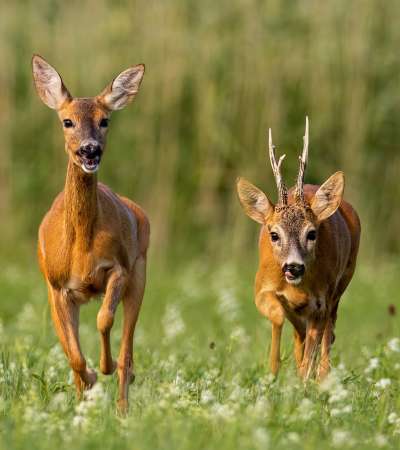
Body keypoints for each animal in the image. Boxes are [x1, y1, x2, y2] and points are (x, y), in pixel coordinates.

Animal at [31, 55, 150, 412]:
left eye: (105, 120)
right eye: (67, 121)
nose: (90, 150)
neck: (81, 246)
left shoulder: (119, 268)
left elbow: (104, 320)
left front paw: (104, 367)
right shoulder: (56, 285)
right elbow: (73, 355)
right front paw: (90, 380)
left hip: (140, 272)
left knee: (128, 351)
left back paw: (123, 405)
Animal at [236, 118, 360, 380]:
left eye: (311, 233)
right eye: (274, 234)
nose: (293, 267)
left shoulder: (321, 302)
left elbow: (316, 341)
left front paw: (303, 379)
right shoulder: (261, 288)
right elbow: (277, 316)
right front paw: (273, 371)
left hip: (341, 283)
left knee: (329, 332)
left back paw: (321, 377)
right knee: (300, 334)